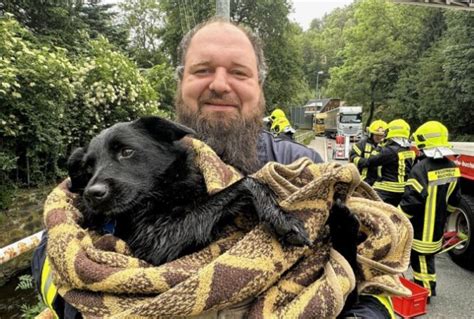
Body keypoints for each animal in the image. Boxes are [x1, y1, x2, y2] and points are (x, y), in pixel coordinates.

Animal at [66, 116, 312, 266]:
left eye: (126, 151)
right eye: (88, 167)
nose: (92, 194)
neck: (166, 190)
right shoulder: (156, 241)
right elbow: (246, 183)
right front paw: (282, 218)